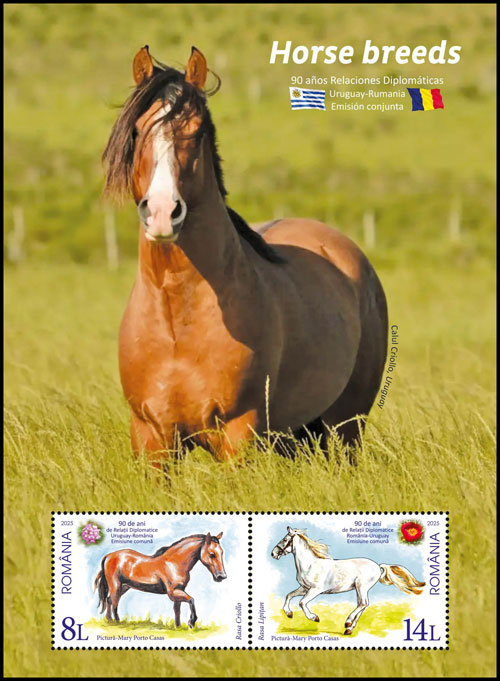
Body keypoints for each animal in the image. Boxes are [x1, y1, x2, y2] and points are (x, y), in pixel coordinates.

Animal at [93, 532, 226, 628]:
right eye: (212, 554)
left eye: (222, 552)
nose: (222, 576)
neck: (174, 563)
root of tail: (108, 556)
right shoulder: (173, 593)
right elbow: (191, 600)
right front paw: (191, 622)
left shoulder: (178, 592)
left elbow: (177, 611)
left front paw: (178, 627)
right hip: (115, 585)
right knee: (114, 602)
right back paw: (117, 622)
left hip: (124, 587)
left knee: (109, 600)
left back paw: (110, 621)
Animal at [103, 45, 388, 462]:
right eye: (138, 130)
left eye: (197, 131)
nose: (162, 212)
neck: (177, 324)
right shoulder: (151, 439)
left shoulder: (240, 435)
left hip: (345, 429)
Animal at [271, 527, 425, 635]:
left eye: (284, 539)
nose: (273, 553)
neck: (310, 565)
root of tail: (378, 566)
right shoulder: (304, 588)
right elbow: (289, 595)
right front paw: (289, 613)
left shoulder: (315, 590)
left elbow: (302, 602)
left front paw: (314, 617)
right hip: (359, 589)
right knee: (363, 604)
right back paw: (349, 629)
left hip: (361, 586)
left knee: (363, 603)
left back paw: (348, 622)